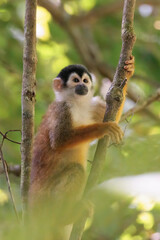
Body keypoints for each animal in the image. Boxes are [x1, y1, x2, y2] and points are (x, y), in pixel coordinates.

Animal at [28, 56, 134, 223]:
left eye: (85, 80)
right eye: (75, 80)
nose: (83, 86)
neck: (76, 103)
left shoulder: (90, 107)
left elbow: (114, 110)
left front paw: (129, 69)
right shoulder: (62, 109)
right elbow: (59, 140)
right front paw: (103, 128)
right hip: (46, 204)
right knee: (75, 171)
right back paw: (67, 216)